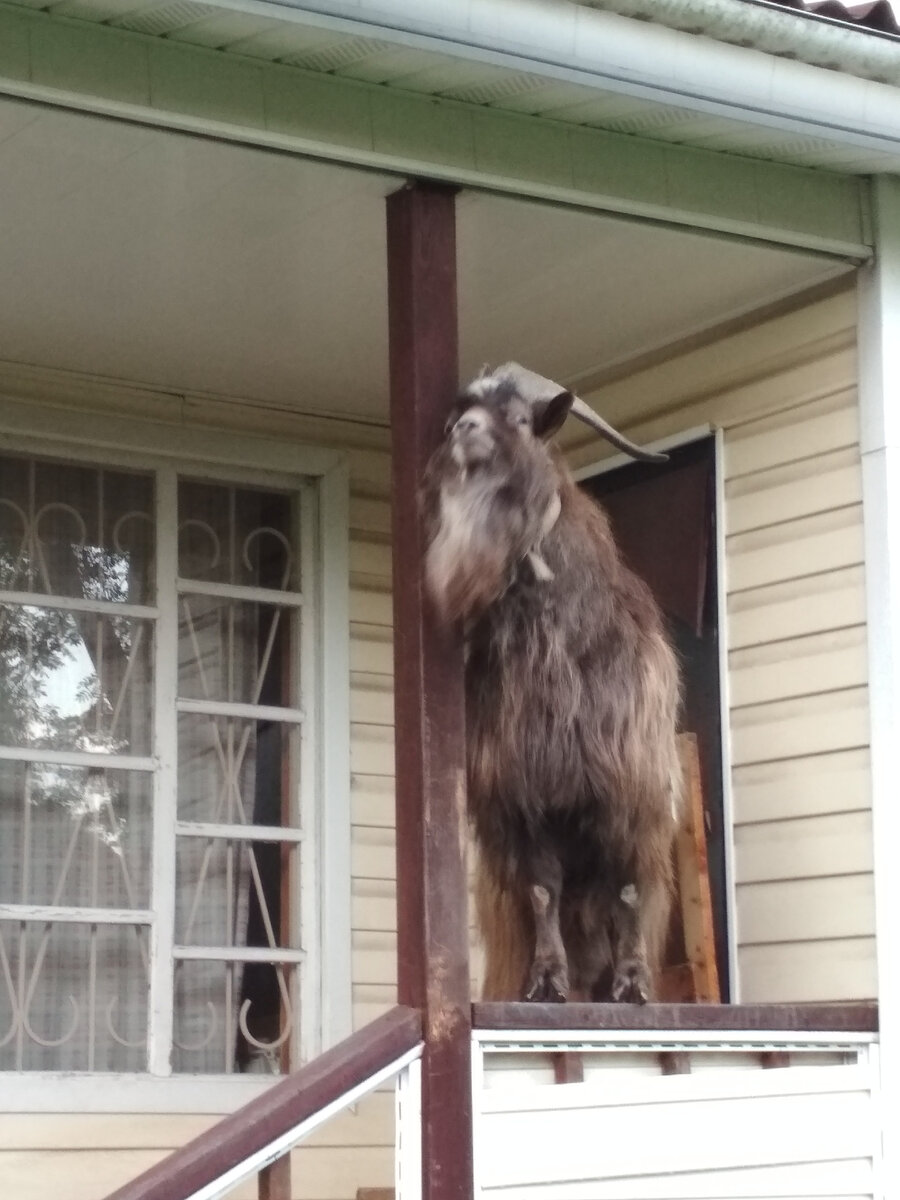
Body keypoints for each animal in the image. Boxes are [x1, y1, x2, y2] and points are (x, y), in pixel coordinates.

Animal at [427, 362, 681, 1003]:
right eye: (461, 412)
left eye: (521, 417)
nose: (464, 430)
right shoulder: (524, 795)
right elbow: (543, 887)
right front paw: (546, 982)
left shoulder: (626, 790)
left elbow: (627, 889)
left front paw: (634, 985)